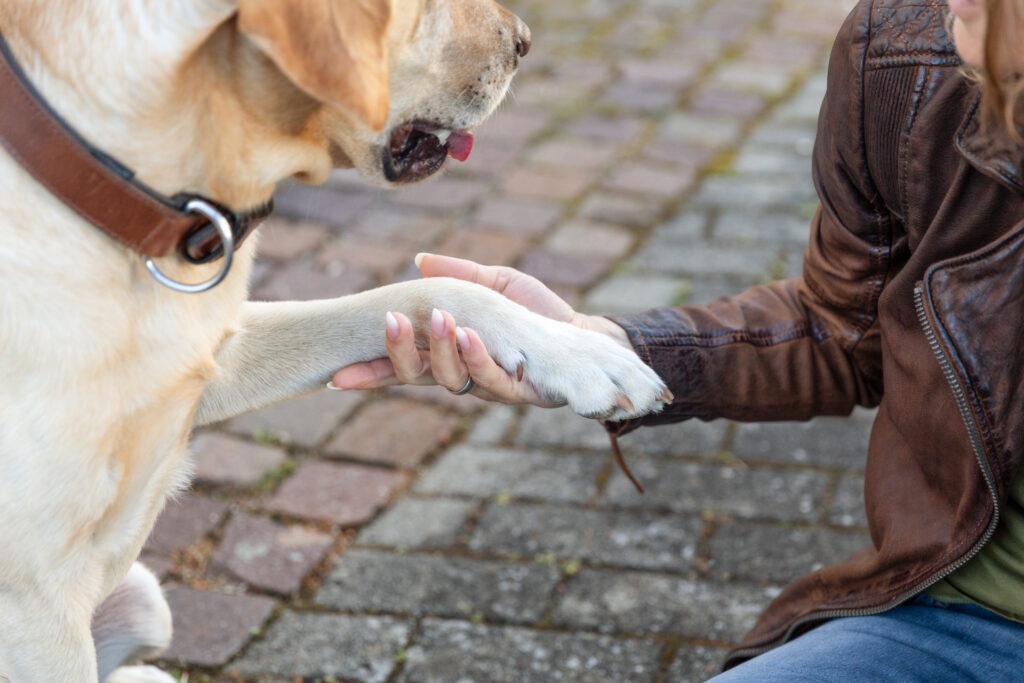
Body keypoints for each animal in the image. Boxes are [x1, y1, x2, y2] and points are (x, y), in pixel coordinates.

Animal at [0, 1, 671, 683]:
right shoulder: (31, 605)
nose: (525, 42)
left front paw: (583, 354)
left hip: (145, 599)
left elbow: (427, 291)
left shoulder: (214, 362)